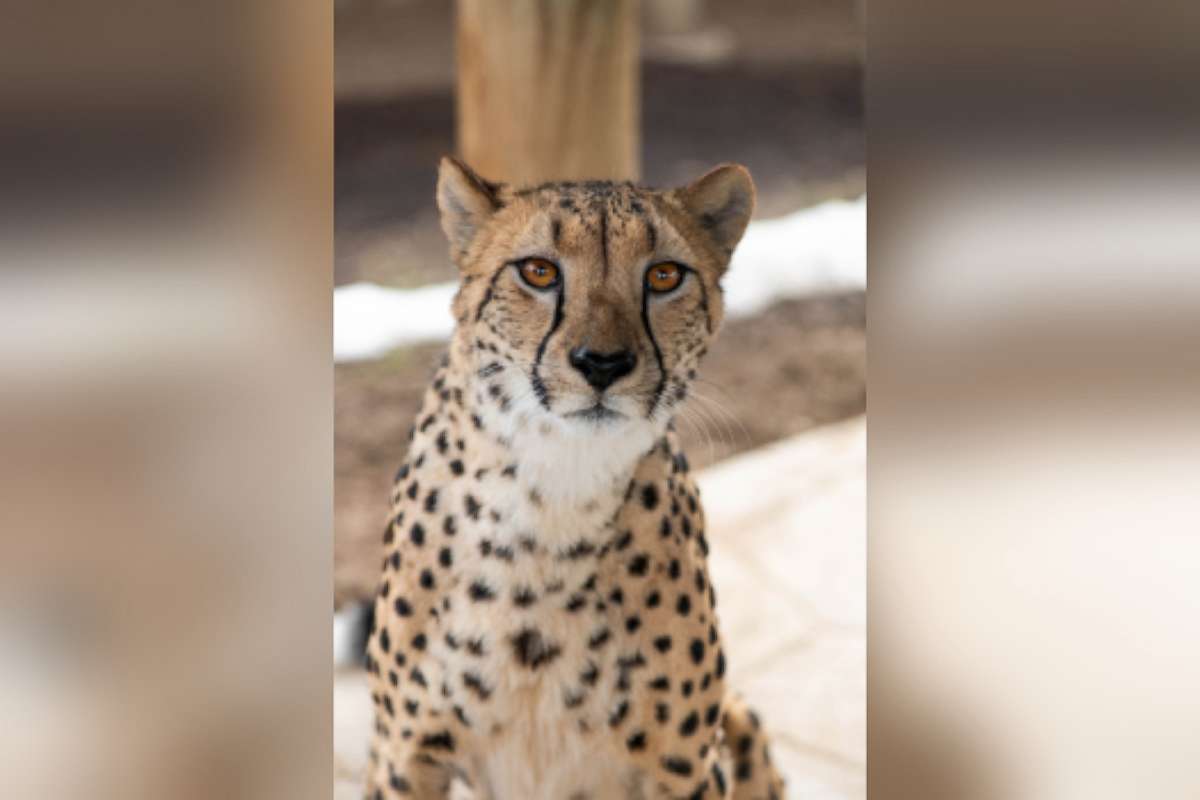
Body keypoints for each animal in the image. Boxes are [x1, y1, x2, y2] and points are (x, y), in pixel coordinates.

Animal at [360, 158, 782, 800]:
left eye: (664, 276)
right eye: (538, 271)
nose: (602, 363)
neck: (554, 490)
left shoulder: (683, 765)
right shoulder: (406, 756)